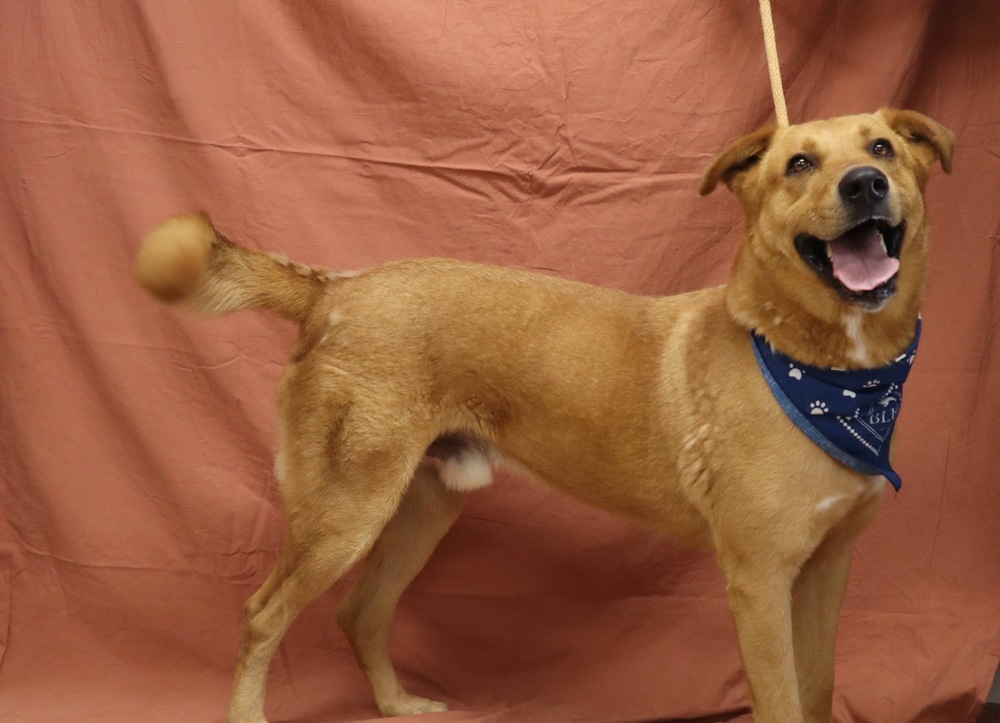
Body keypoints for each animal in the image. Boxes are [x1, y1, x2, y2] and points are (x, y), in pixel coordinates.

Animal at [133, 109, 952, 723]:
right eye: (799, 164)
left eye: (882, 147)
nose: (866, 183)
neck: (825, 372)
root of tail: (335, 288)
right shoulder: (760, 580)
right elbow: (782, 701)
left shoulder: (826, 570)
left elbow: (818, 689)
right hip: (343, 513)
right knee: (262, 614)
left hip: (422, 508)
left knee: (359, 612)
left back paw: (399, 707)